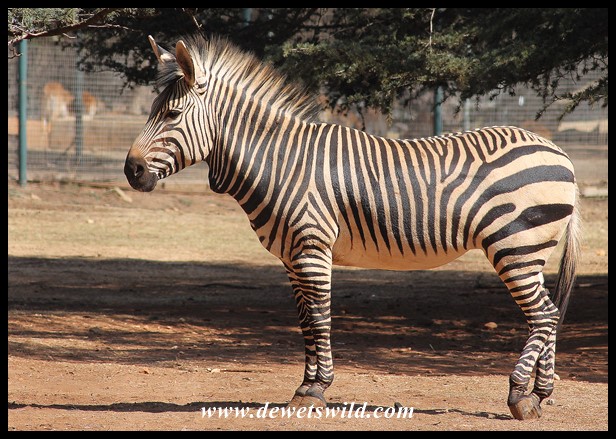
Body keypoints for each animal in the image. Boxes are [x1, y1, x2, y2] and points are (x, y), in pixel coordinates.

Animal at [124, 34, 581, 420]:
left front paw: (315, 389)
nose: (131, 171)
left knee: (543, 314)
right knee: (548, 313)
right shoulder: (292, 256)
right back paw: (541, 395)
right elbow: (305, 321)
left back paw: (519, 395)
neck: (280, 161)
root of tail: (559, 151)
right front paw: (307, 387)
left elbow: (321, 318)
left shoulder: (311, 248)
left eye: (172, 114)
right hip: (532, 251)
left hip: (514, 245)